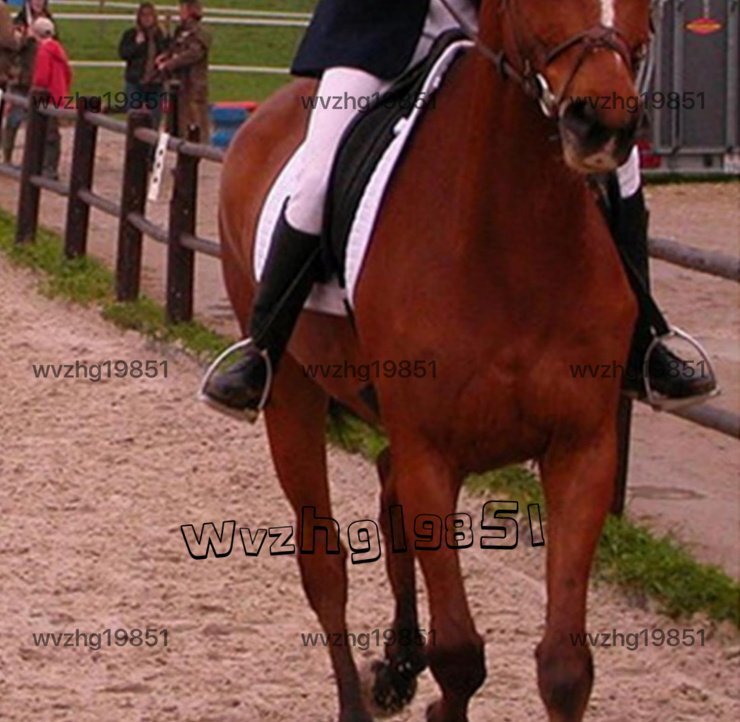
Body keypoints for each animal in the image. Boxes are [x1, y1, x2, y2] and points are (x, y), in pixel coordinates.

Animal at [217, 2, 652, 716]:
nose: (603, 122)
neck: (515, 242)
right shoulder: (433, 454)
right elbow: (461, 658)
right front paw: (435, 695)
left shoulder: (582, 449)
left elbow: (565, 668)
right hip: (293, 398)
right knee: (325, 567)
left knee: (387, 494)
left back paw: (398, 662)